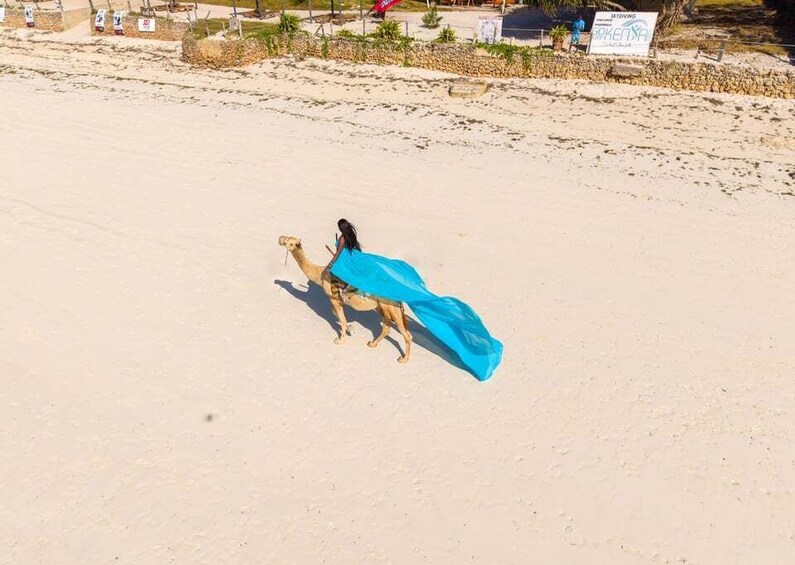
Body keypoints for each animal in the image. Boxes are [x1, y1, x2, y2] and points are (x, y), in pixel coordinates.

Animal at [278, 236, 413, 363]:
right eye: (286, 240)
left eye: (291, 243)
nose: (280, 241)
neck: (320, 274)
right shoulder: (339, 301)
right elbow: (338, 315)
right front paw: (351, 330)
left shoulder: (333, 298)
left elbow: (341, 319)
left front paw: (341, 339)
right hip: (381, 307)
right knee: (386, 327)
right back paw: (372, 344)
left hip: (391, 307)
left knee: (405, 333)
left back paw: (404, 359)